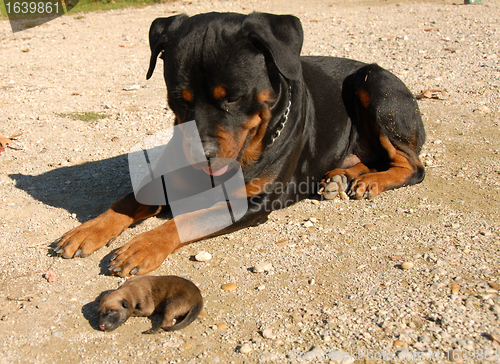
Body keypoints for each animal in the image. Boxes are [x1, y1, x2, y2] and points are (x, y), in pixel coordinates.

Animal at [54, 12, 424, 278]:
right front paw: (88, 230)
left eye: (232, 97)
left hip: (376, 86)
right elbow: (129, 198)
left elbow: (189, 218)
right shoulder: (169, 176)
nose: (202, 154)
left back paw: (371, 181)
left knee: (413, 165)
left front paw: (141, 247)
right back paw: (340, 177)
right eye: (178, 98)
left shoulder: (252, 201)